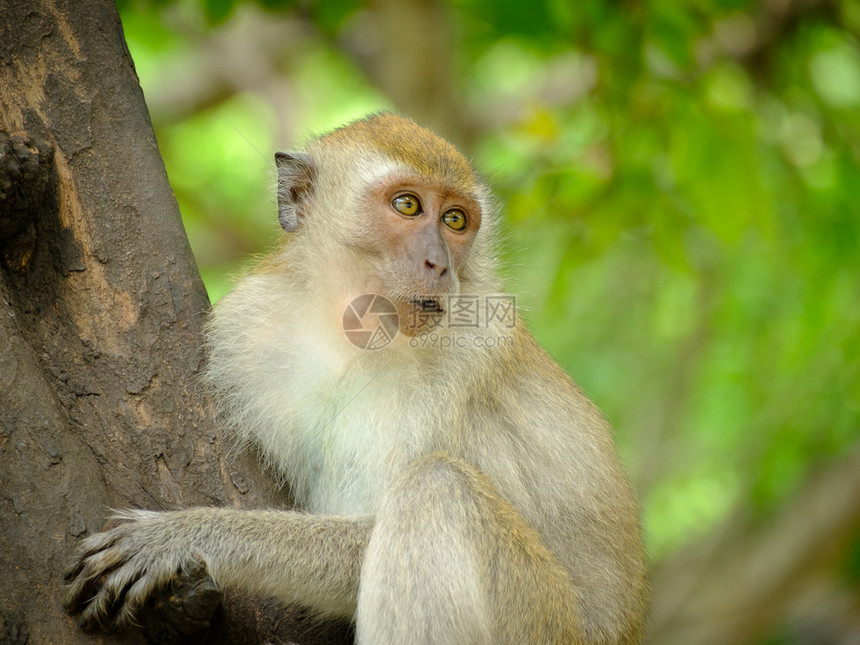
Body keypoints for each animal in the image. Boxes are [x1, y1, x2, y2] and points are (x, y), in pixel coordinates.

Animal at [65, 114, 644, 644]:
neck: (357, 333)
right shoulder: (246, 326)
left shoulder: (470, 350)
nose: (438, 264)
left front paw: (185, 535)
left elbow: (369, 535)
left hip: (545, 622)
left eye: (455, 220)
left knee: (436, 488)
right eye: (407, 205)